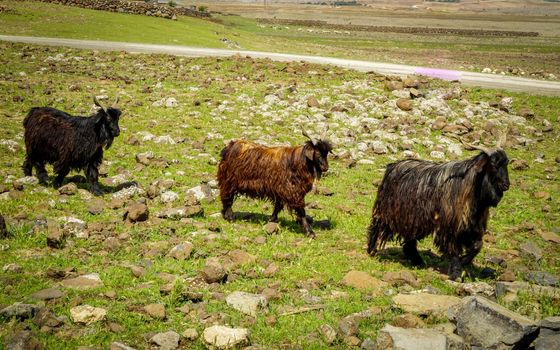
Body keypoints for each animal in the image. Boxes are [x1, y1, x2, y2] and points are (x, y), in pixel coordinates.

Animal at [368, 134, 512, 278]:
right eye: (493, 163)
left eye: (506, 162)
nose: (506, 185)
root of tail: (393, 166)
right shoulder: (451, 226)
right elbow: (454, 250)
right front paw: (456, 273)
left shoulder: (472, 227)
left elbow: (478, 245)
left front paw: (464, 260)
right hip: (386, 212)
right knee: (376, 227)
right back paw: (371, 250)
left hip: (412, 220)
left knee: (410, 241)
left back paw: (418, 261)